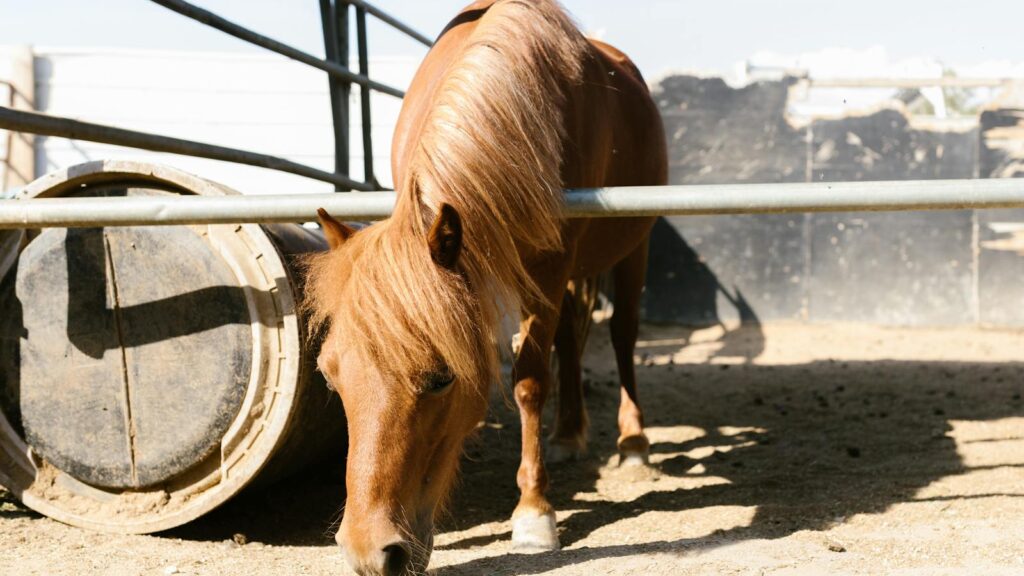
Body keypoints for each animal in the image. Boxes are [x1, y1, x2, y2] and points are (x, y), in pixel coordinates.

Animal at [304, 1, 667, 573]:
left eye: (441, 380)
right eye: (330, 377)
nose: (368, 553)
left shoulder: (549, 267)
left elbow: (529, 379)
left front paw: (534, 513)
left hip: (634, 247)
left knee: (623, 336)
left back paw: (633, 443)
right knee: (572, 337)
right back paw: (567, 435)